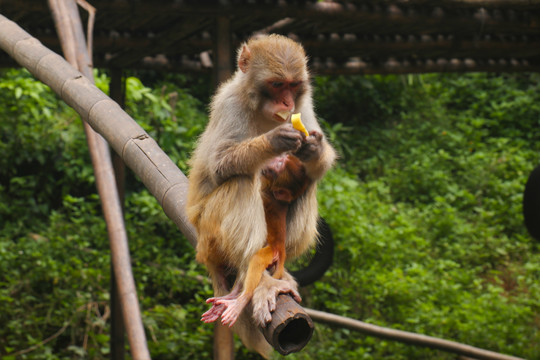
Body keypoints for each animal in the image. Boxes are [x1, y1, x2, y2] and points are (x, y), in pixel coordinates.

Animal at [188, 34, 336, 358]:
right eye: (277, 84)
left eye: (293, 85)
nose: (287, 103)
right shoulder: (229, 103)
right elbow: (219, 164)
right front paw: (275, 140)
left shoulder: (305, 105)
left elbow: (318, 163)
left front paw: (313, 149)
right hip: (208, 234)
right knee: (241, 181)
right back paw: (252, 280)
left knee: (308, 183)